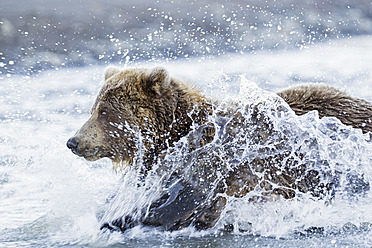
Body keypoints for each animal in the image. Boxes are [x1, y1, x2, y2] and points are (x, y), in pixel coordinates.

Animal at [67, 66, 372, 232]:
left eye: (104, 112)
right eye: (93, 109)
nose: (73, 142)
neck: (175, 134)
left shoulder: (214, 160)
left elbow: (184, 200)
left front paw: (119, 220)